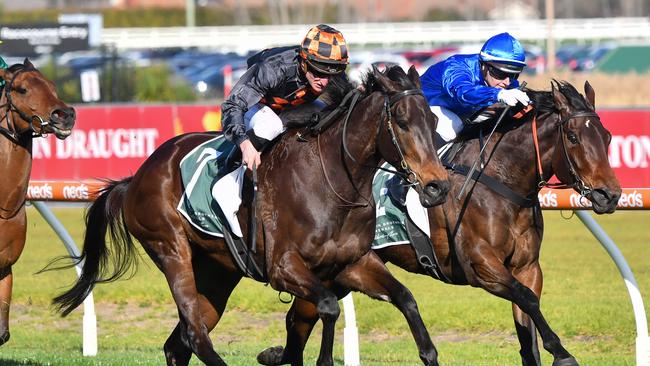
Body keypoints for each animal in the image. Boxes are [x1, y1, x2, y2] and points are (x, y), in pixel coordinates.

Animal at [50, 66, 448, 366]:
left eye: (432, 120)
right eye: (401, 121)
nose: (437, 187)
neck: (333, 182)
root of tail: (135, 178)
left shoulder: (353, 263)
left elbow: (406, 299)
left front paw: (428, 352)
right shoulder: (283, 268)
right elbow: (329, 306)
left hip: (215, 272)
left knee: (179, 343)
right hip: (171, 249)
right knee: (196, 335)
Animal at [256, 81, 620, 366]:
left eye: (607, 136)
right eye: (573, 136)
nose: (610, 195)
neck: (500, 181)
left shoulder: (527, 267)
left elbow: (527, 320)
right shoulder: (481, 266)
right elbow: (528, 300)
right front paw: (562, 353)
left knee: (299, 317)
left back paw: (273, 354)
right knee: (301, 317)